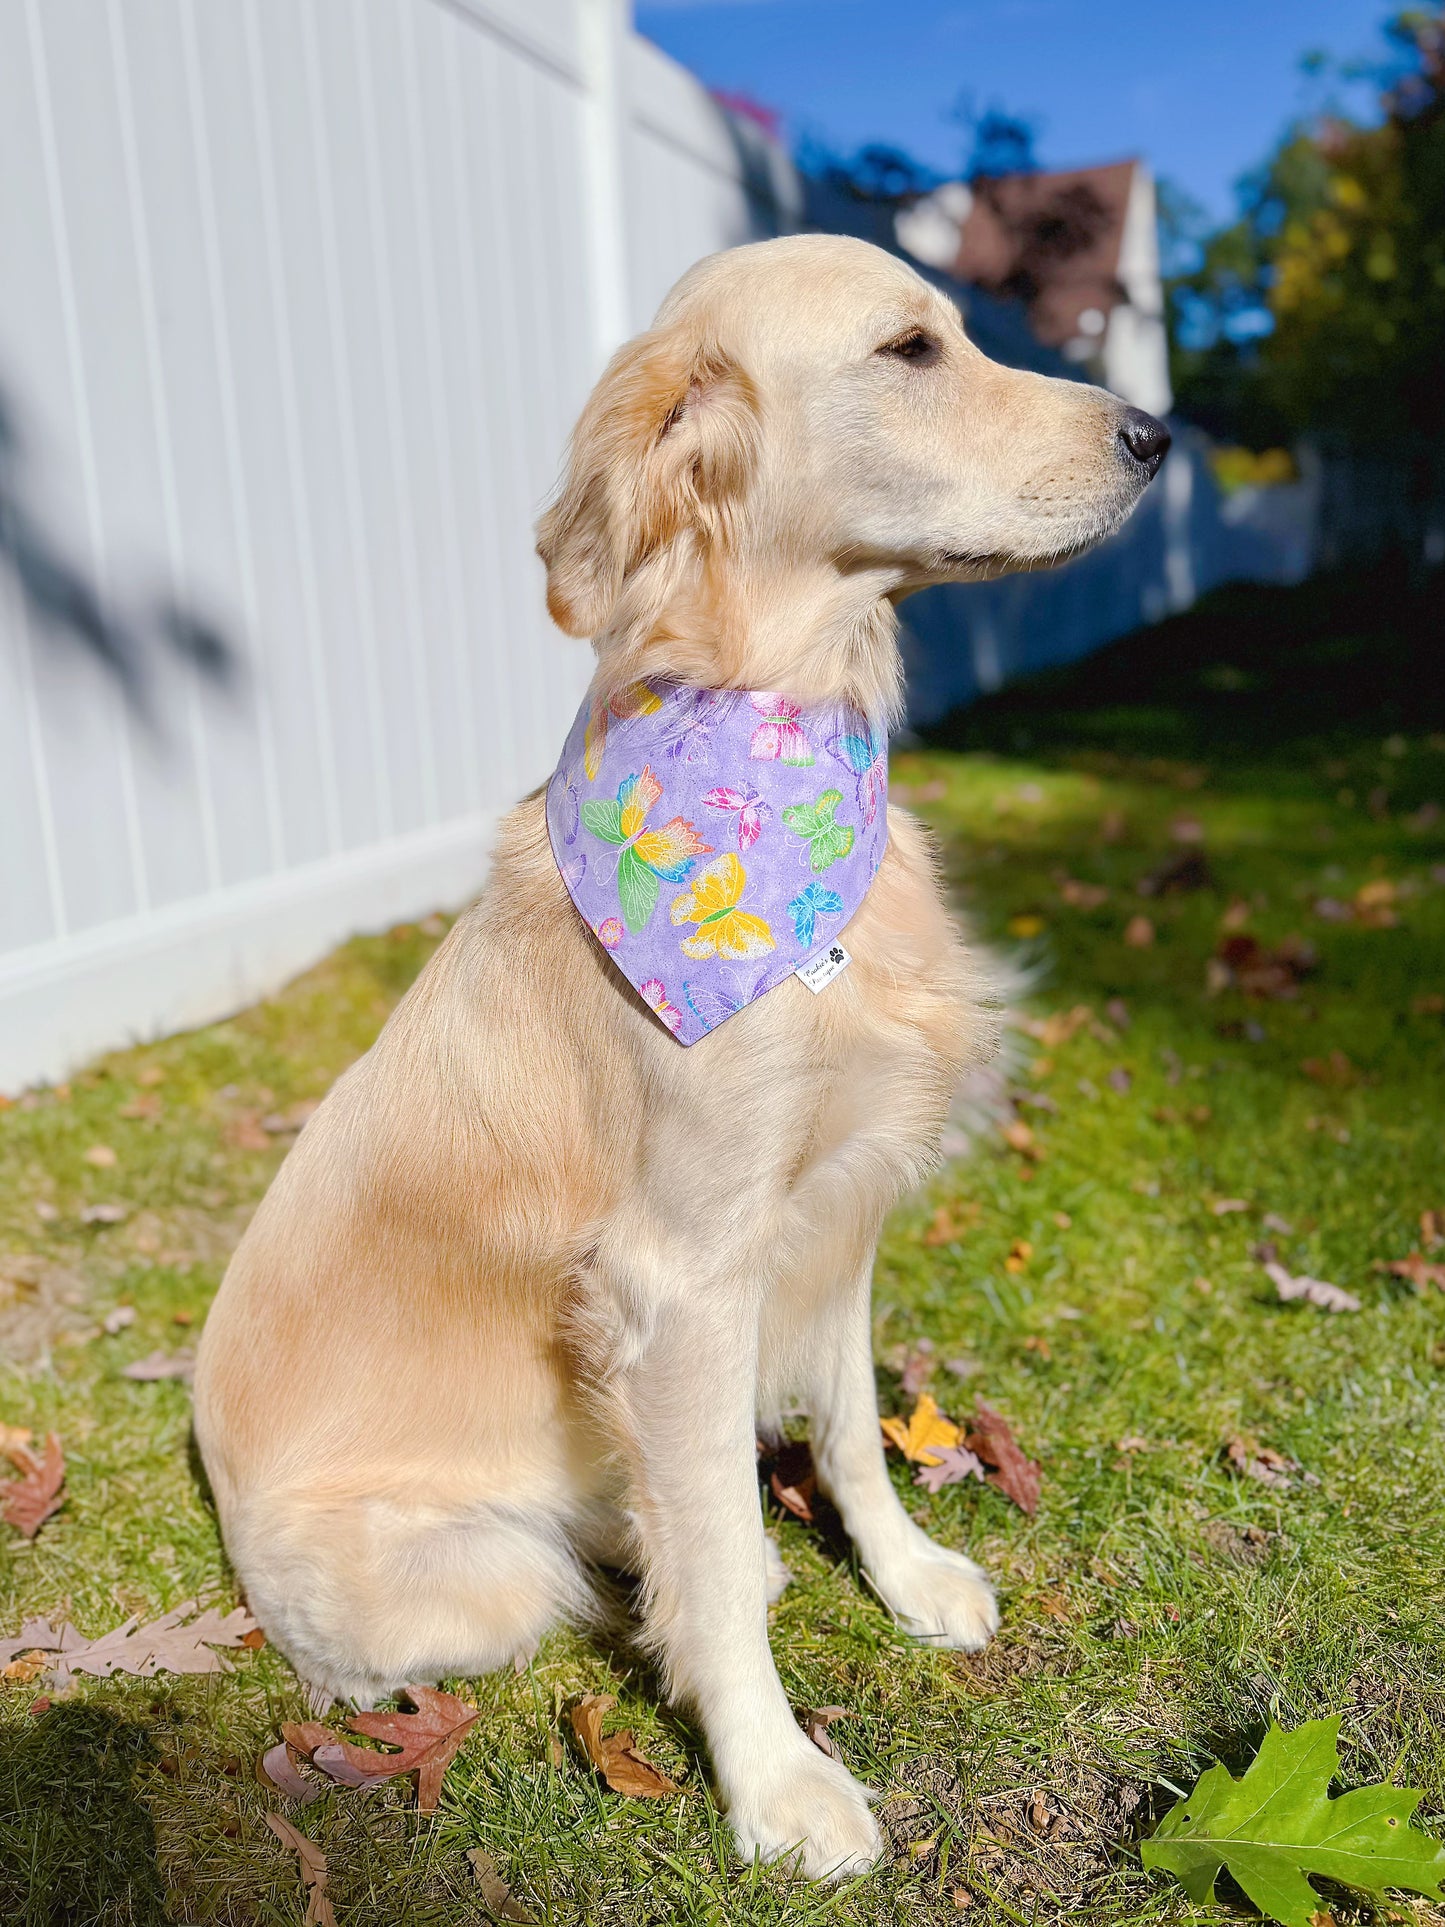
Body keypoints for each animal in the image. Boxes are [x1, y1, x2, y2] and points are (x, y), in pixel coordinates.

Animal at [195, 229, 1163, 1880]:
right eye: (912, 348)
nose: (1157, 436)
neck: (784, 726)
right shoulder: (684, 1269)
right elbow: (707, 1550)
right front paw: (774, 1776)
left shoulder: (833, 1207)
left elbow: (849, 1432)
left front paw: (903, 1573)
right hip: (474, 1576)